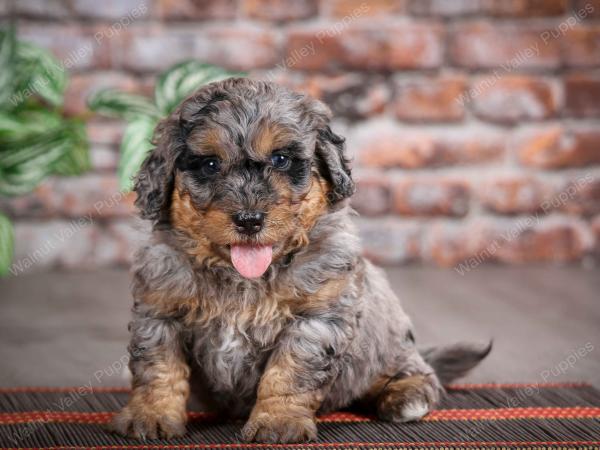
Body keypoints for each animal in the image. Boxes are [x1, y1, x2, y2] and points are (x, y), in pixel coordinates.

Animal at [111, 76, 488, 442]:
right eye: (210, 164)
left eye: (280, 159)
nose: (249, 220)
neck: (242, 278)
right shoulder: (160, 310)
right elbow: (159, 368)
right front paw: (151, 415)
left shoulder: (316, 317)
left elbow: (289, 372)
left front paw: (278, 421)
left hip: (389, 341)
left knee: (412, 370)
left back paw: (408, 396)